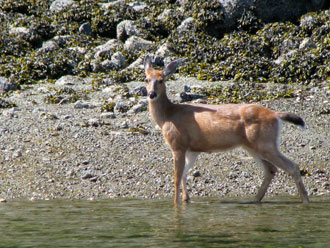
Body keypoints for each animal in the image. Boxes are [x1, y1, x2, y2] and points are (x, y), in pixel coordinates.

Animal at [144, 55, 310, 204]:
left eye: (161, 80)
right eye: (146, 79)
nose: (152, 94)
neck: (168, 116)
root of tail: (276, 115)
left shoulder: (178, 144)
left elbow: (177, 178)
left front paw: (176, 204)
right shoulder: (192, 149)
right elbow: (184, 175)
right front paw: (186, 199)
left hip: (266, 143)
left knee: (292, 167)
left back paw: (305, 201)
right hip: (253, 146)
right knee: (271, 169)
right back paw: (255, 200)